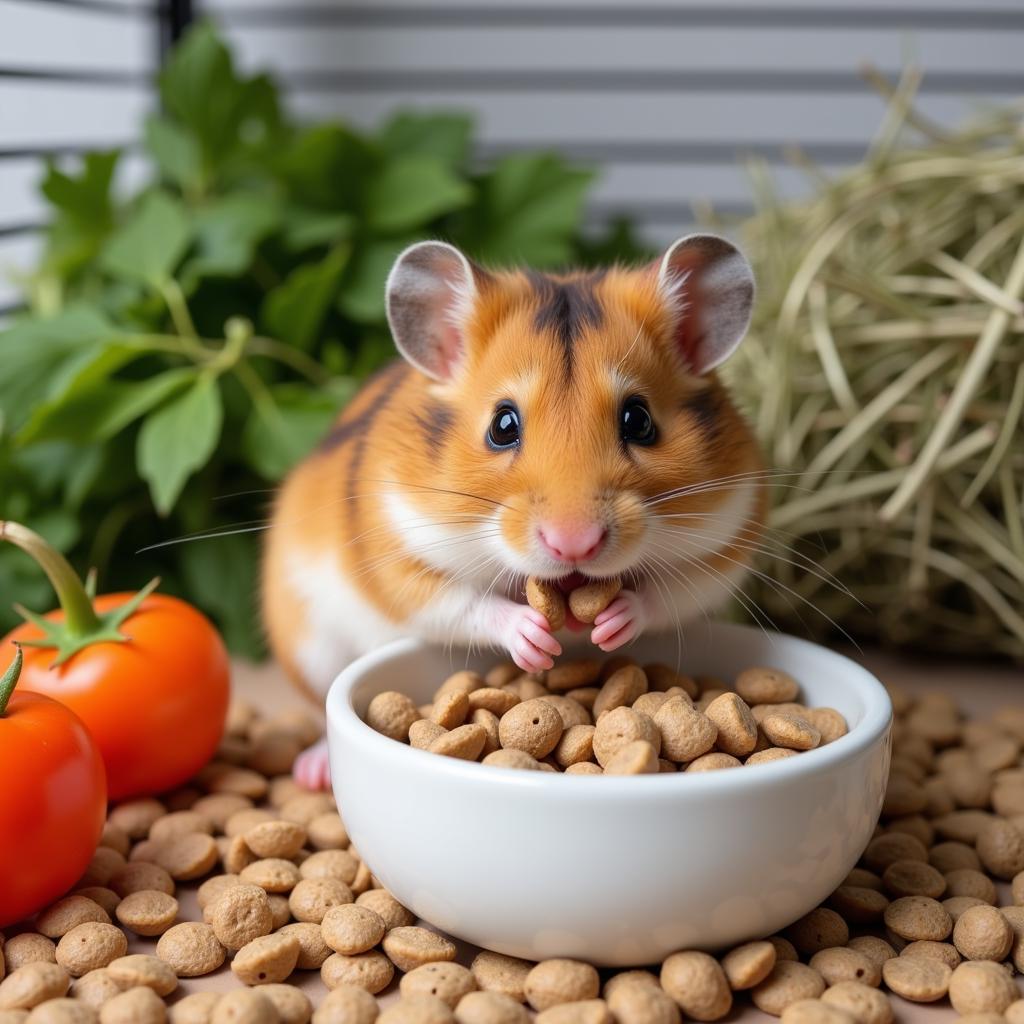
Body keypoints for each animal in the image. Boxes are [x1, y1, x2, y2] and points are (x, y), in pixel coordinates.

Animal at [260, 234, 765, 782]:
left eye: (639, 420)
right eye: (502, 425)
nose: (574, 545)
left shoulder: (727, 545)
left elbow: (669, 593)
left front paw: (611, 623)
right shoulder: (395, 555)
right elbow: (463, 603)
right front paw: (535, 637)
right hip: (311, 647)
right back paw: (312, 771)